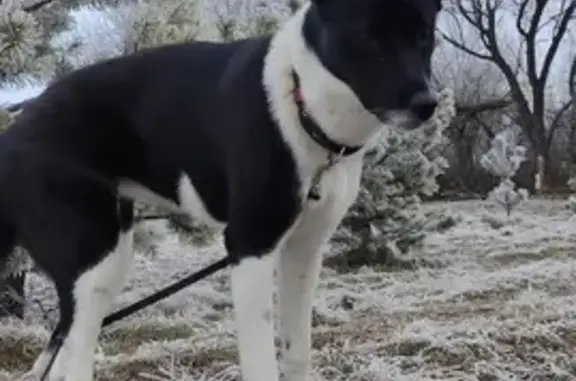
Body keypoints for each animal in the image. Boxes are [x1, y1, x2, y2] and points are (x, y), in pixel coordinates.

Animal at [0, 0, 440, 378]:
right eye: (368, 36)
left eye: (424, 37)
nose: (427, 104)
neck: (300, 98)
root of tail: (14, 132)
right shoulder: (249, 247)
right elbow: (261, 361)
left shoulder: (304, 251)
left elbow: (296, 351)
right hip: (93, 261)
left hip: (106, 259)